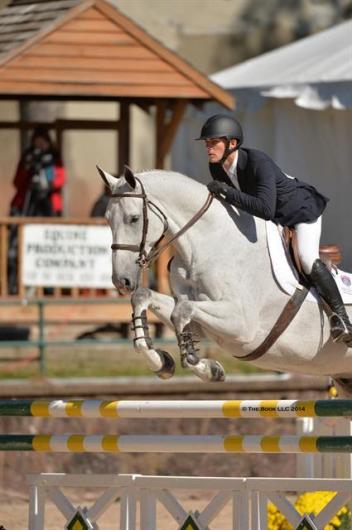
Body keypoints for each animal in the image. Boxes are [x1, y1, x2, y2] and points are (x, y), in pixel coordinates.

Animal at [97, 165, 352, 392]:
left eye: (134, 218)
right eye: (107, 218)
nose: (121, 281)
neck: (204, 247)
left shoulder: (242, 326)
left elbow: (182, 311)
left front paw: (206, 368)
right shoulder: (204, 326)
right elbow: (145, 297)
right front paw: (161, 362)